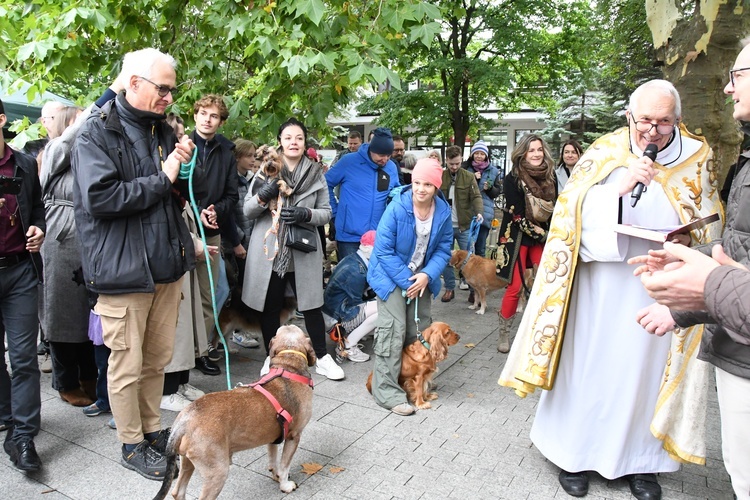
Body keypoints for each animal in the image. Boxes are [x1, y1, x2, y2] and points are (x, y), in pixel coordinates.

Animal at [153, 324, 318, 500]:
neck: (287, 365)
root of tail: (183, 422)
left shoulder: (273, 438)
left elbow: (273, 461)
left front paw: (276, 476)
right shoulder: (294, 436)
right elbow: (284, 466)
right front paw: (285, 485)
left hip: (186, 461)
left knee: (178, 492)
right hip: (217, 472)